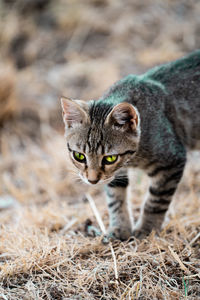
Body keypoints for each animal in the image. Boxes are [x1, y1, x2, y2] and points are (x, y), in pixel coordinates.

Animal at [60, 49, 200, 241]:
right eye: (79, 156)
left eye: (110, 158)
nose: (92, 180)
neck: (133, 158)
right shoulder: (116, 175)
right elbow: (115, 198)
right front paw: (120, 228)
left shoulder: (172, 160)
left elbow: (155, 200)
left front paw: (146, 230)